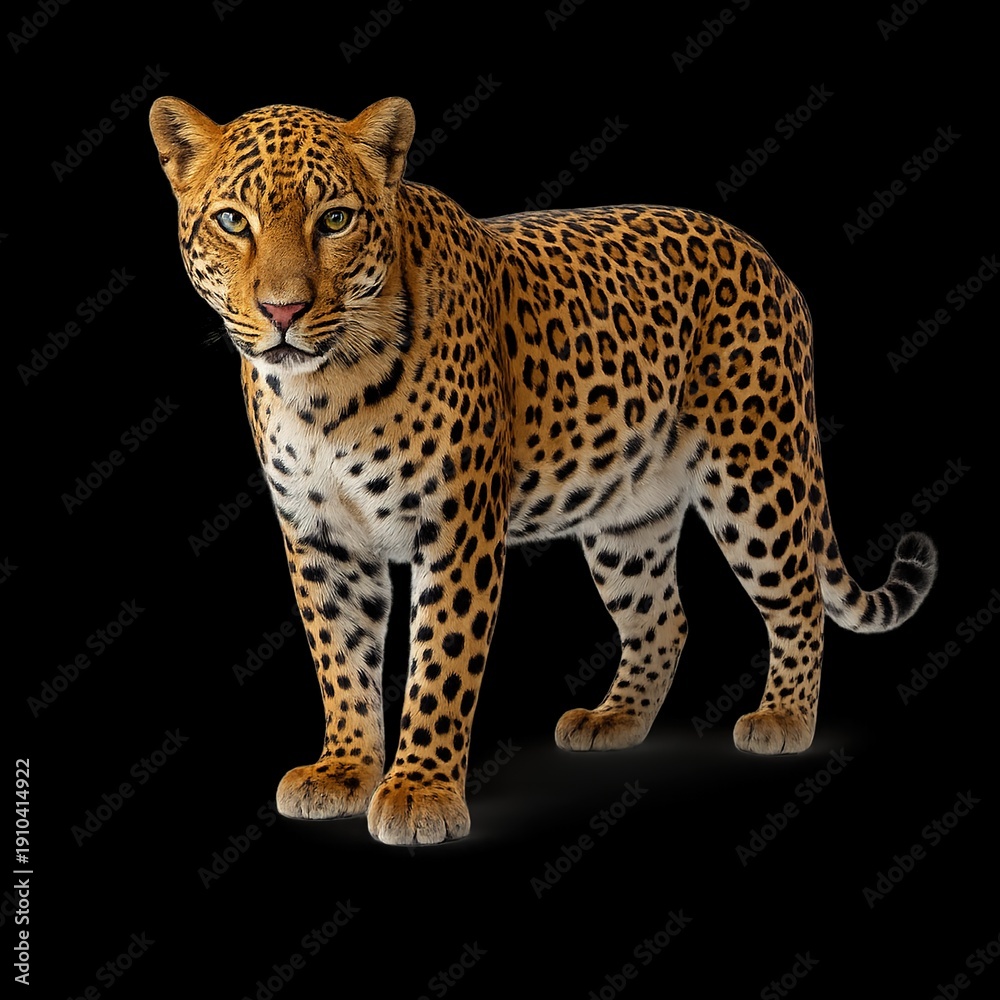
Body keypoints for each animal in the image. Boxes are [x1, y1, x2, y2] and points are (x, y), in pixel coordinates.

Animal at [150, 95, 938, 846]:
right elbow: (340, 657)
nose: (282, 311)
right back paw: (615, 719)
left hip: (758, 469)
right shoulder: (320, 536)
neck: (323, 391)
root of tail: (764, 255)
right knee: (664, 617)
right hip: (629, 515)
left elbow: (439, 664)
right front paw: (344, 769)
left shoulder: (456, 526)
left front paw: (418, 793)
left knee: (798, 597)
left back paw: (784, 718)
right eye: (232, 221)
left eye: (335, 220)